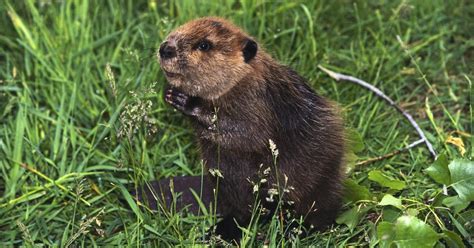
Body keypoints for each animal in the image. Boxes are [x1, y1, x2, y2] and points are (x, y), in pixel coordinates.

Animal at [135, 16, 346, 241]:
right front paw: (169, 92)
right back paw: (219, 231)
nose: (165, 48)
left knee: (317, 212)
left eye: (204, 45)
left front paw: (186, 101)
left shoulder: (256, 100)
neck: (241, 79)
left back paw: (293, 230)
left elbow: (249, 133)